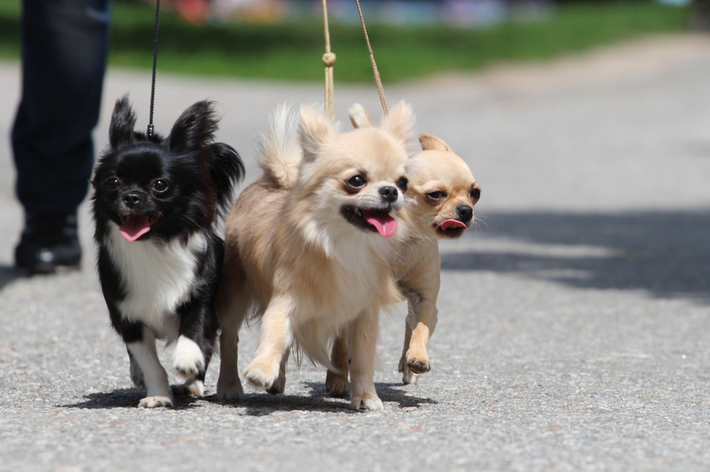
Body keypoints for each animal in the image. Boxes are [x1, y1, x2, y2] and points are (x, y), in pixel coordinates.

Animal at [92, 96, 245, 406]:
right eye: (113, 182)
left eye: (160, 185)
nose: (131, 196)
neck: (154, 243)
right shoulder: (128, 317)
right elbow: (150, 362)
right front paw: (159, 395)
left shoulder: (201, 297)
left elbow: (194, 332)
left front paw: (187, 359)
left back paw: (193, 381)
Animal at [217, 102, 418, 410]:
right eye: (356, 180)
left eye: (403, 182)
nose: (390, 191)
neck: (345, 244)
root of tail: (269, 180)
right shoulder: (286, 298)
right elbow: (275, 333)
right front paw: (261, 369)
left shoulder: (364, 311)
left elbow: (362, 357)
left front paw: (365, 395)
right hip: (235, 292)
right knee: (229, 339)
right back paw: (230, 385)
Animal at [326, 104, 484, 394]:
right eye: (435, 195)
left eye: (475, 193)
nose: (466, 210)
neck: (404, 241)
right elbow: (342, 339)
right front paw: (338, 375)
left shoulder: (426, 300)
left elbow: (421, 329)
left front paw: (418, 358)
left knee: (409, 324)